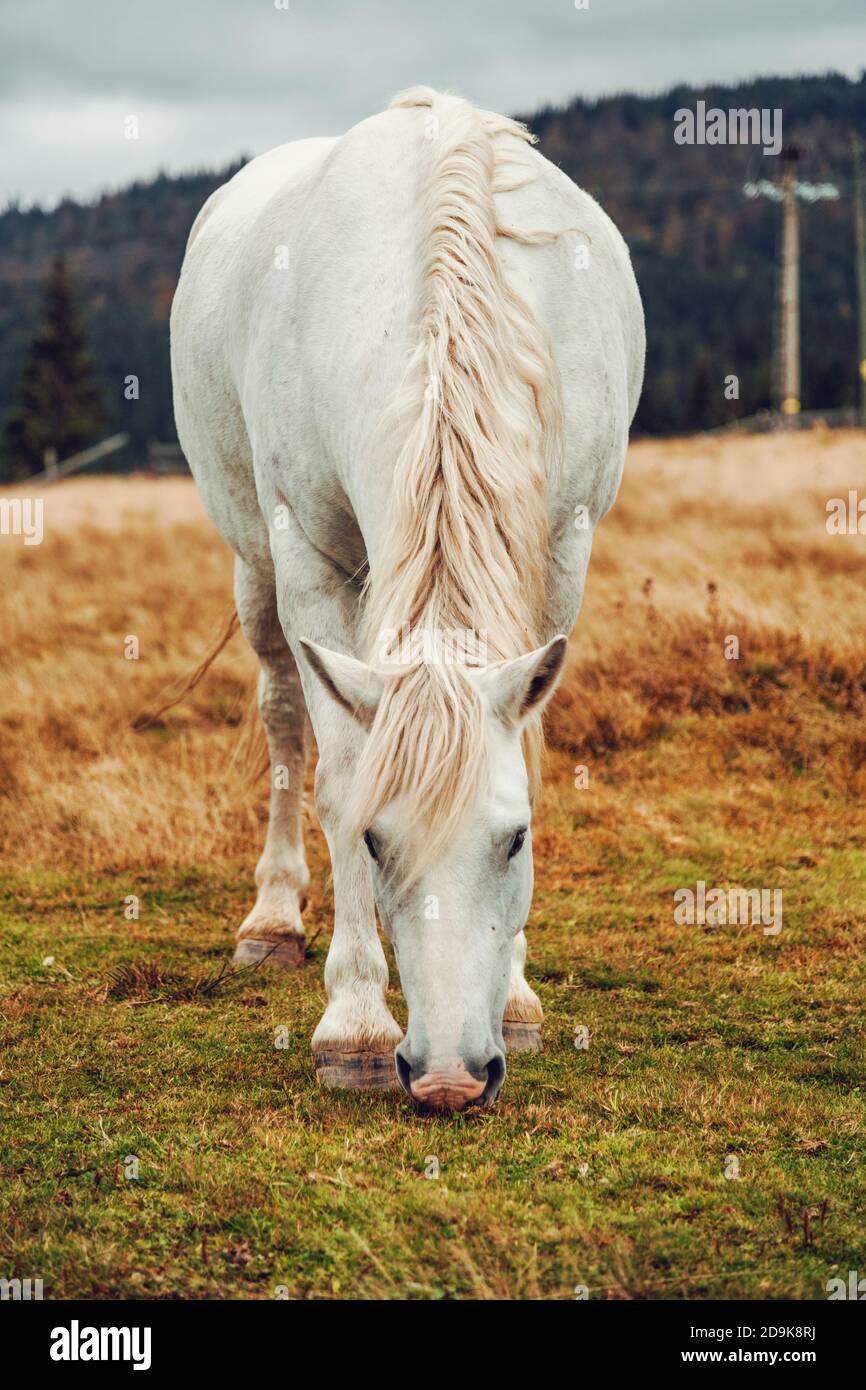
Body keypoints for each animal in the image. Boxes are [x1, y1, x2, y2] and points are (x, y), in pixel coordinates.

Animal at [170, 84, 644, 1106]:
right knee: (282, 720)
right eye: (378, 844)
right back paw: (272, 919)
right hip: (254, 566)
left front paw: (518, 1001)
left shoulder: (564, 548)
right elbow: (339, 773)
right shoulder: (309, 554)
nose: (451, 1079)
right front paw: (351, 1022)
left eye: (515, 840)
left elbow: (530, 747)